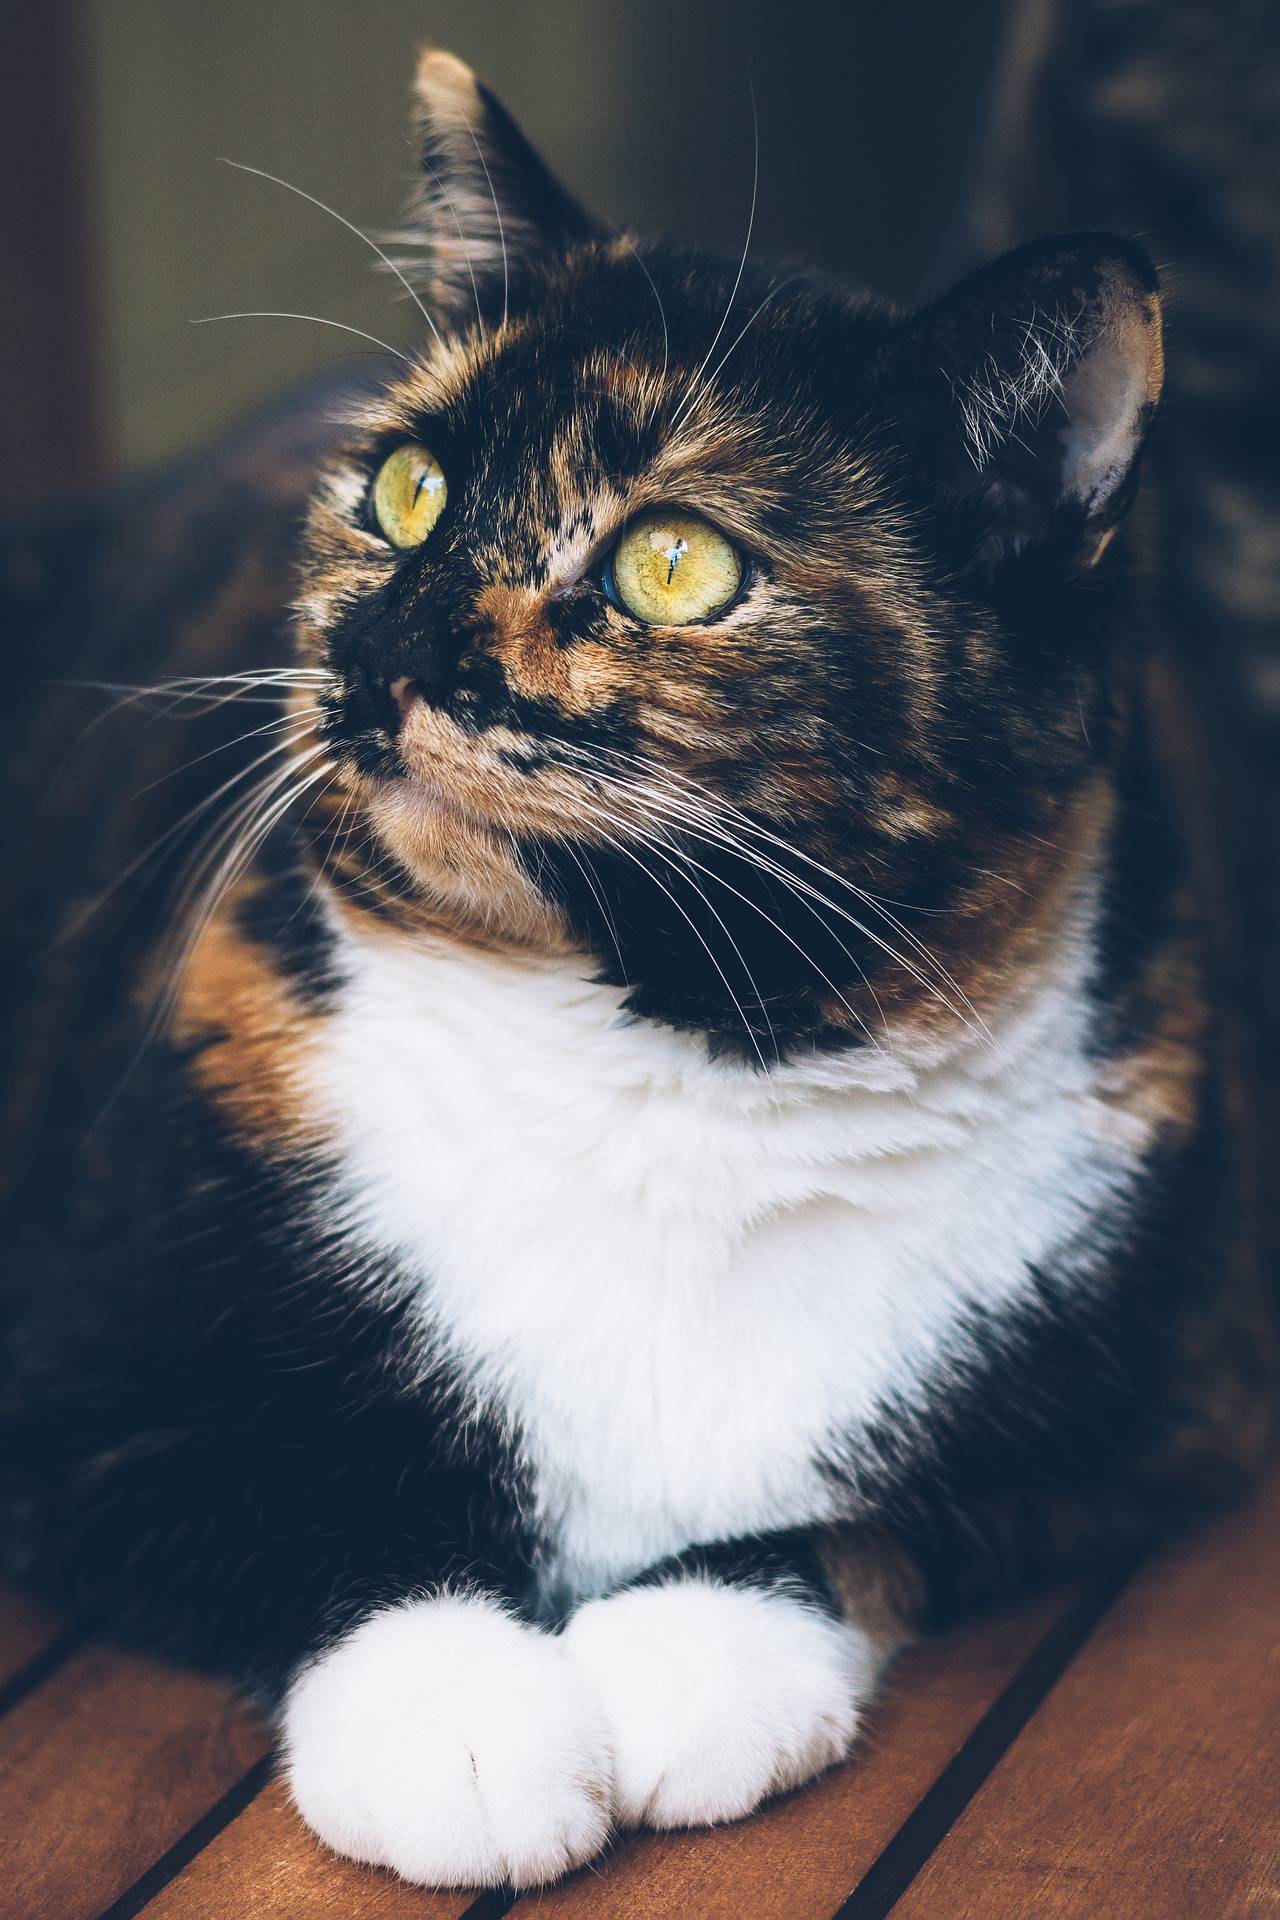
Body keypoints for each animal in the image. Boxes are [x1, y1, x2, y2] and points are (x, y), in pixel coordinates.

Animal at [0, 41, 1274, 1889]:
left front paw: (696, 1655)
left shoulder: (1153, 1410)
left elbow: (874, 1514)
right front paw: (462, 1723)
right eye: (407, 488)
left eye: (675, 561)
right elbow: (309, 1503)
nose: (390, 647)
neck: (667, 1069)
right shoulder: (80, 1374)